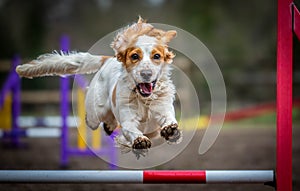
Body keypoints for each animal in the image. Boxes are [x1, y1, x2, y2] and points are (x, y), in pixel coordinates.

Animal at [17, 17, 182, 156]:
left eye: (157, 56)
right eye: (135, 56)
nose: (146, 73)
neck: (142, 99)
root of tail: (108, 59)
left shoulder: (163, 109)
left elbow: (169, 119)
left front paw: (170, 130)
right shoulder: (128, 119)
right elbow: (132, 130)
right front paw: (139, 141)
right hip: (96, 112)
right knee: (92, 119)